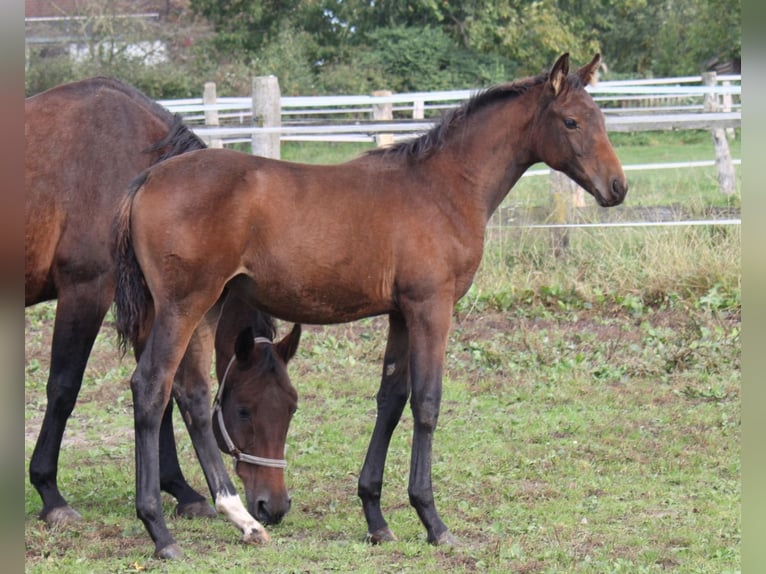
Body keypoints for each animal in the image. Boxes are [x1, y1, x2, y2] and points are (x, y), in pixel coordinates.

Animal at [24, 76, 300, 532]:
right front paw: (50, 494)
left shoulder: (157, 305)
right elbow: (64, 387)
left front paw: (182, 491)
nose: (272, 507)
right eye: (244, 410)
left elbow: (163, 393)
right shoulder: (85, 290)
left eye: (291, 408)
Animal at [112, 53, 632, 560]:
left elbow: (391, 400)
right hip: (183, 305)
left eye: (601, 119)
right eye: (571, 121)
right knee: (151, 386)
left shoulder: (401, 313)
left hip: (207, 307)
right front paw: (433, 521)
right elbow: (427, 402)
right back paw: (160, 532)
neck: (443, 187)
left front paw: (376, 518)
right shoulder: (431, 308)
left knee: (194, 395)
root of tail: (147, 179)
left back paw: (244, 521)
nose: (617, 187)